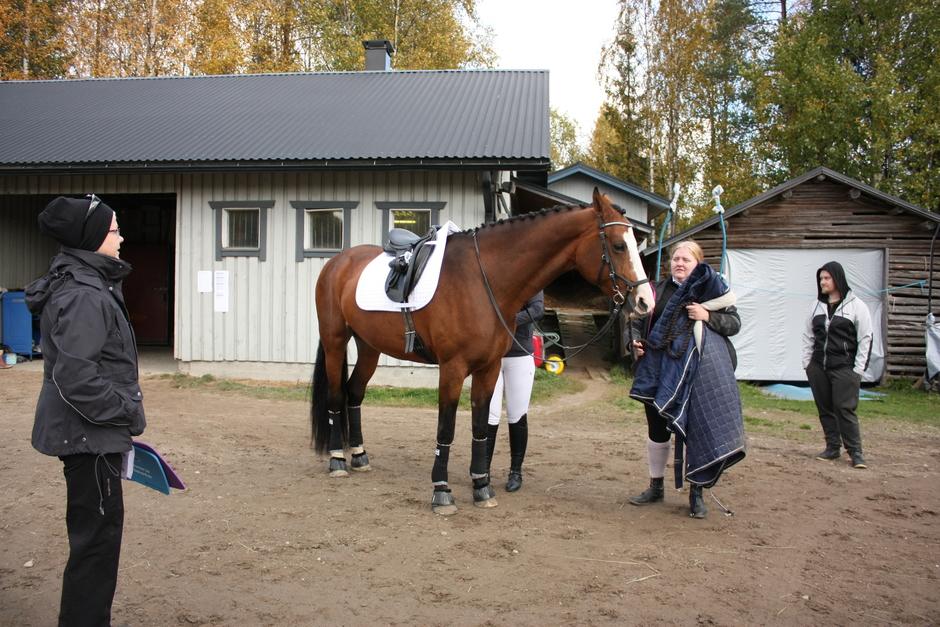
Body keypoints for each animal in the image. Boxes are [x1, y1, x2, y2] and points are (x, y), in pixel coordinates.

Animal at [310, 187, 654, 515]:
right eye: (618, 245)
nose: (645, 301)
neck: (483, 278)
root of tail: (337, 263)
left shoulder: (488, 368)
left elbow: (480, 427)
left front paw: (481, 488)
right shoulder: (452, 369)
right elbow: (446, 428)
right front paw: (442, 492)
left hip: (369, 347)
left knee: (355, 392)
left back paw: (360, 456)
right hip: (335, 341)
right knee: (336, 396)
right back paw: (338, 460)